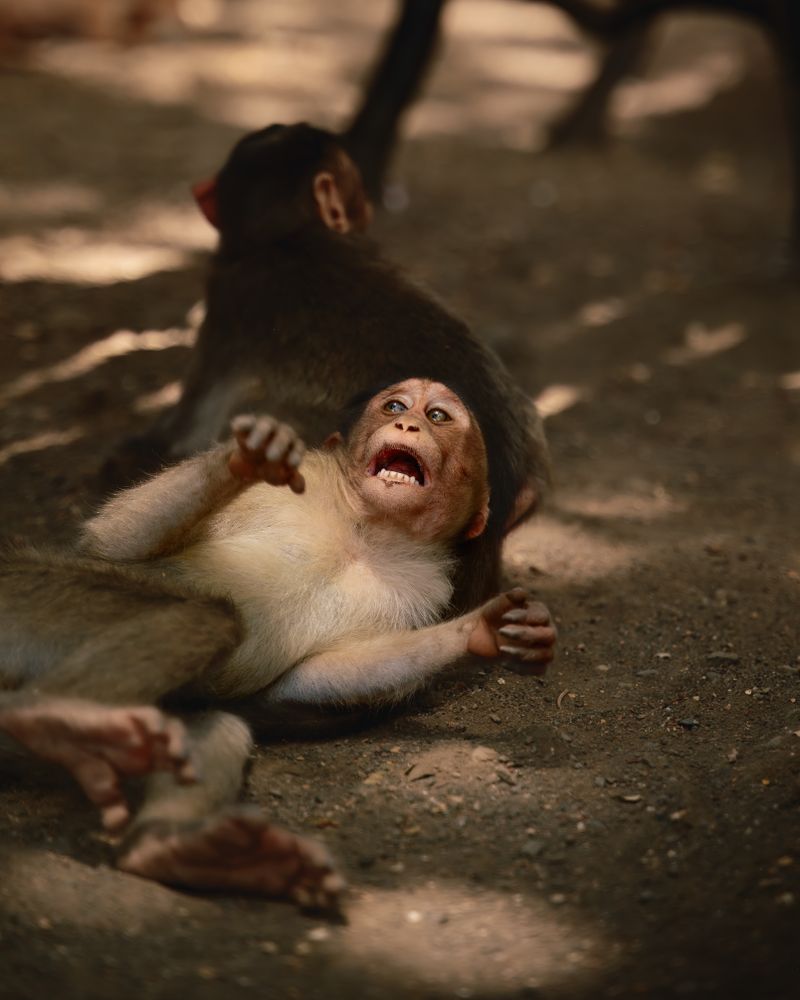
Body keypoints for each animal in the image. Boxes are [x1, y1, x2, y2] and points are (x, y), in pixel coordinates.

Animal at [1, 379, 556, 903]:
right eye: (396, 406)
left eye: (438, 416)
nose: (409, 425)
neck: (366, 531)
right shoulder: (297, 481)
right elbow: (111, 544)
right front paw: (247, 455)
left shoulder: (424, 592)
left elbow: (304, 678)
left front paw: (480, 630)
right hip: (25, 597)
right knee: (206, 617)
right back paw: (51, 718)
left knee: (208, 717)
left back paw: (174, 848)